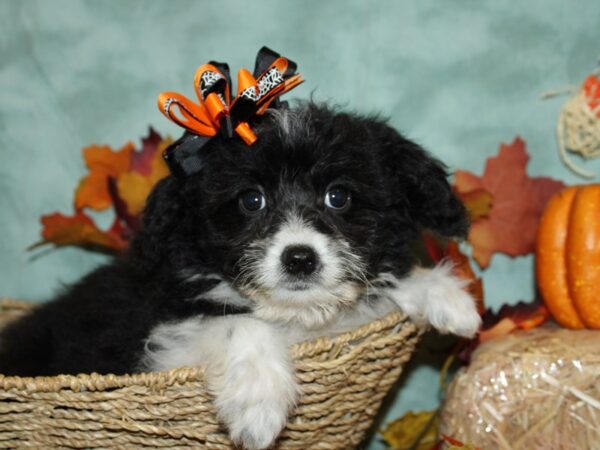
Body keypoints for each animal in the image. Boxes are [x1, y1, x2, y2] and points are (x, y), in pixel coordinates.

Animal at [0, 102, 480, 450]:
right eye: (251, 200)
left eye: (338, 196)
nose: (300, 258)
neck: (294, 315)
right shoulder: (160, 349)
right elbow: (238, 322)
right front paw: (259, 405)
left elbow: (385, 281)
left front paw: (447, 298)